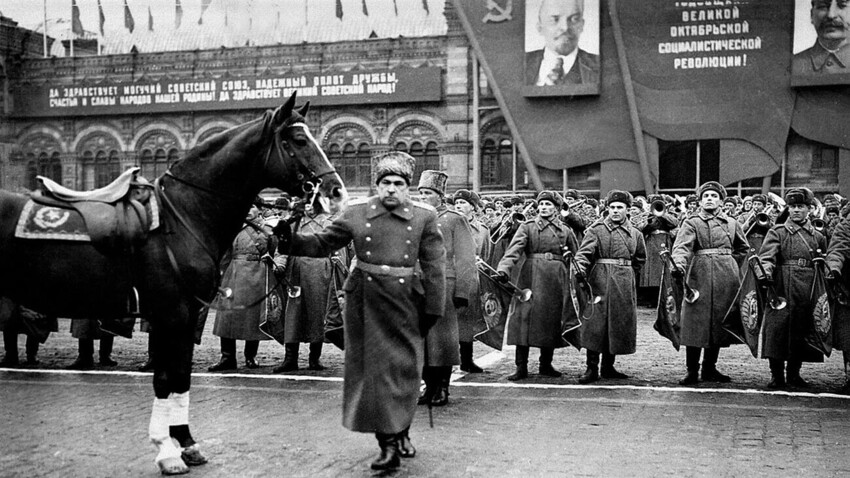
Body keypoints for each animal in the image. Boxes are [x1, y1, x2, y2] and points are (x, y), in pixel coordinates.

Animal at [0, 92, 348, 474]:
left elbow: (179, 375)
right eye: (298, 139)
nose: (336, 191)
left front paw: (186, 443)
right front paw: (168, 451)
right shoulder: (172, 313)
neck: (182, 217)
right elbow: (167, 378)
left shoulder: (185, 314)